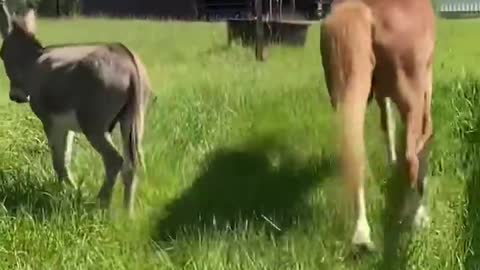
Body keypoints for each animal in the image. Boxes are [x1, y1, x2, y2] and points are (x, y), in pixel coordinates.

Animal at [322, 0, 436, 251]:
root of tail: (365, 10)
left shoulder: (382, 93)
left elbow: (388, 125)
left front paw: (391, 162)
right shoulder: (425, 86)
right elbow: (423, 141)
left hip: (347, 92)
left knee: (355, 154)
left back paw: (362, 236)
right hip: (411, 95)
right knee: (412, 157)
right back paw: (416, 216)